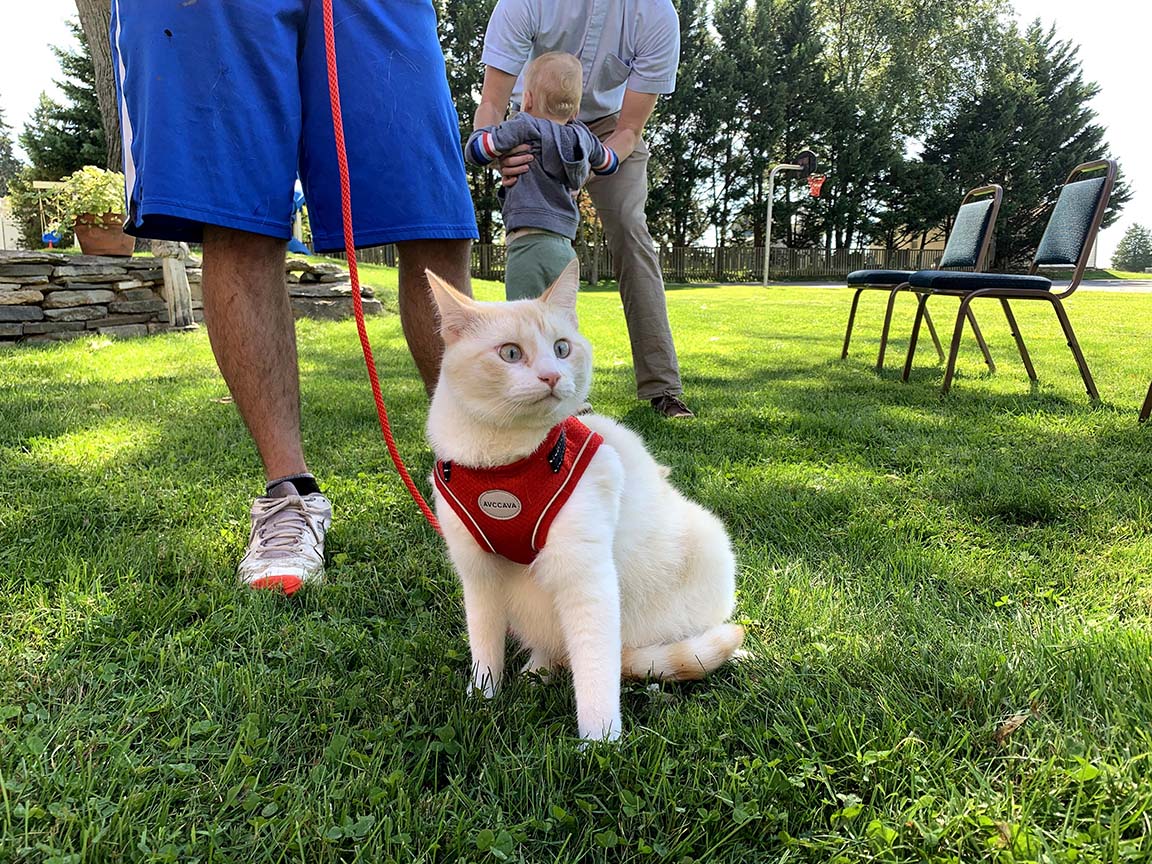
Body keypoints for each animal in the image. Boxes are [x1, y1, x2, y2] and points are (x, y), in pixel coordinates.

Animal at [428, 260, 741, 741]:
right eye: (510, 354)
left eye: (562, 348)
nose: (553, 376)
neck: (505, 464)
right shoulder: (477, 572)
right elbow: (484, 645)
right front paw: (481, 699)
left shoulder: (586, 575)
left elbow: (594, 667)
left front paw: (599, 742)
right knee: (554, 647)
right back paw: (535, 673)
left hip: (704, 548)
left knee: (636, 653)